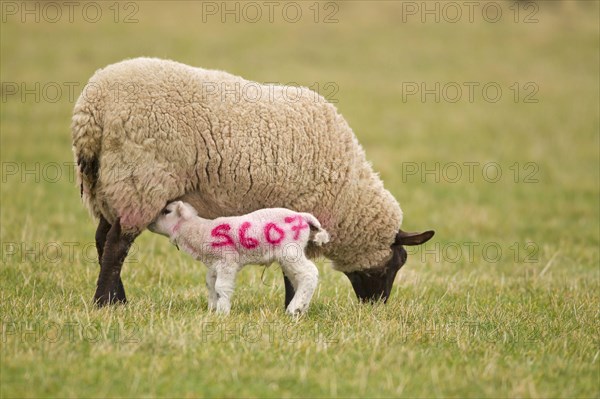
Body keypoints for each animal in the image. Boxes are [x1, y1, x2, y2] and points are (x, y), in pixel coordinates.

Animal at [149, 202, 328, 318]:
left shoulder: (227, 261)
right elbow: (210, 284)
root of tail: (302, 217)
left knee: (309, 273)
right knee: (299, 278)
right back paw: (301, 308)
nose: (150, 223)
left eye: (166, 211)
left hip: (290, 250)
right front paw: (212, 308)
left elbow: (221, 287)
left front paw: (222, 313)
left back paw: (294, 308)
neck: (200, 231)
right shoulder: (214, 264)